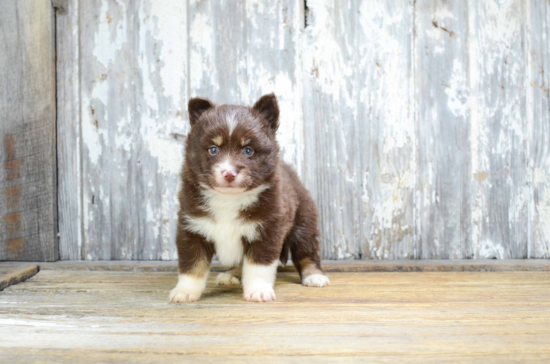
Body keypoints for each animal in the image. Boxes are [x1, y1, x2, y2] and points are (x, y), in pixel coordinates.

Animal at [170, 93, 330, 302]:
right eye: (213, 149)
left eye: (248, 150)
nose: (229, 174)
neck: (228, 199)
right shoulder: (192, 228)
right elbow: (192, 265)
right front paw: (184, 291)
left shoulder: (267, 229)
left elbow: (258, 266)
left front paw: (258, 291)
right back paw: (231, 275)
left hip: (304, 221)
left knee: (307, 252)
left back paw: (314, 276)